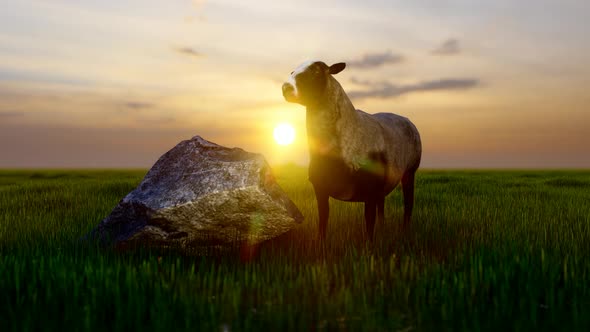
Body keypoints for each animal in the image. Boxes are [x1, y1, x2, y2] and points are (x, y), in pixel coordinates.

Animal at [284, 60, 424, 241]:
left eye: (317, 71)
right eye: (292, 71)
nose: (286, 87)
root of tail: (406, 119)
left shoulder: (369, 189)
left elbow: (369, 224)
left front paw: (369, 247)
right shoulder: (320, 188)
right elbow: (323, 219)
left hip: (409, 172)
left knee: (408, 204)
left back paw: (405, 231)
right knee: (382, 205)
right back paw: (383, 228)